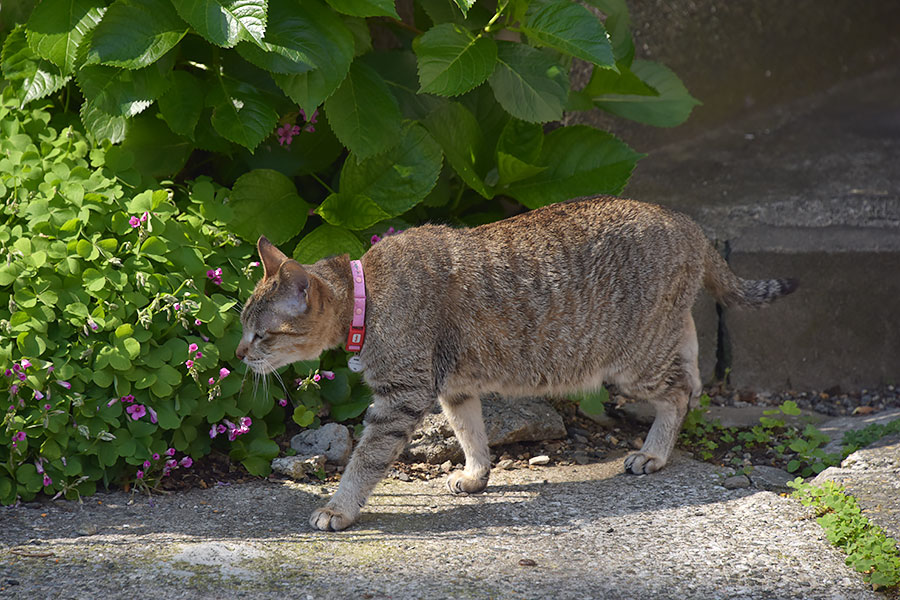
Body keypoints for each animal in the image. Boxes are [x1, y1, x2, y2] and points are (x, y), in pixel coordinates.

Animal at [236, 197, 800, 528]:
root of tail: (688, 223)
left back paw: (654, 452)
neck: (366, 295)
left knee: (679, 393)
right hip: (657, 339)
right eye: (243, 328)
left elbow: (365, 461)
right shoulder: (453, 386)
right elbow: (471, 433)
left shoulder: (402, 397)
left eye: (260, 334)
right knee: (691, 363)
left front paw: (339, 507)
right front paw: (475, 475)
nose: (239, 353)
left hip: (630, 364)